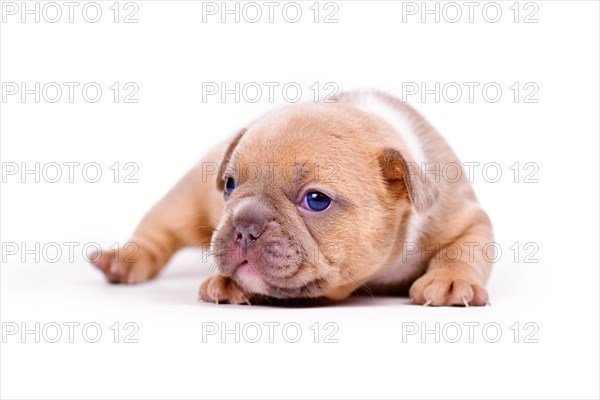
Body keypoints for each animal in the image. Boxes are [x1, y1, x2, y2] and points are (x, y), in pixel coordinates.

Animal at [89, 92, 492, 308]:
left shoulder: (465, 217)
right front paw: (230, 283)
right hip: (184, 199)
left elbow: (463, 249)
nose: (244, 226)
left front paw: (451, 280)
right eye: (230, 184)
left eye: (316, 200)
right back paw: (122, 261)